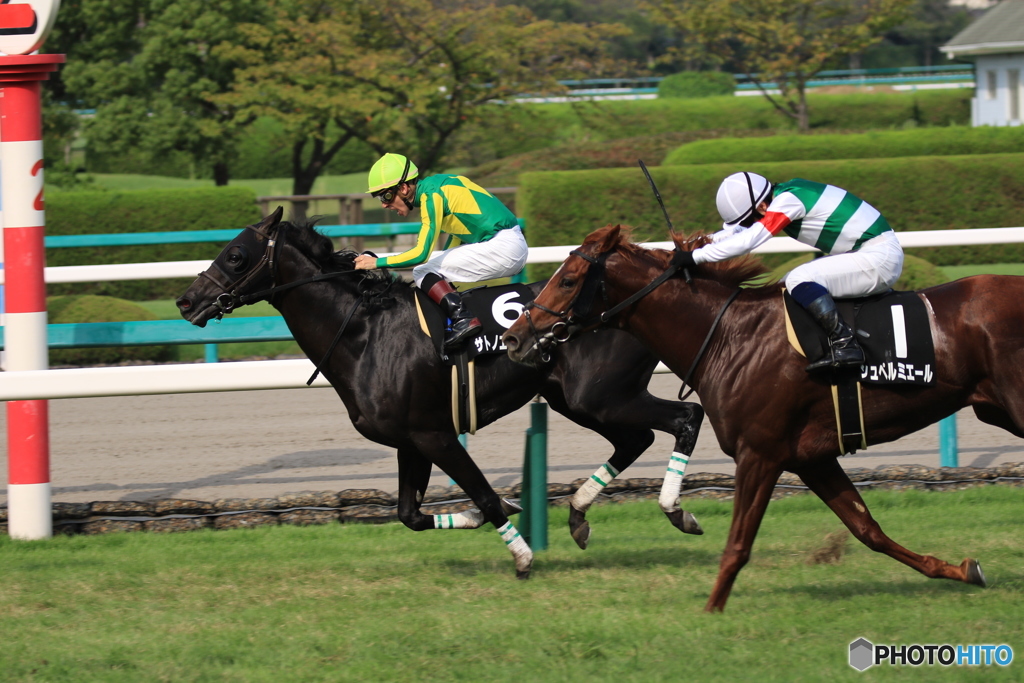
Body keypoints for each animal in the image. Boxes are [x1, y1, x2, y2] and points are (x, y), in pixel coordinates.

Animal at [176, 208, 707, 579]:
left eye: (236, 255)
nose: (186, 300)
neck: (365, 333)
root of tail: (643, 295)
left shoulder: (435, 435)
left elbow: (486, 495)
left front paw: (522, 555)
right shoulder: (409, 440)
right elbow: (409, 514)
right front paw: (490, 514)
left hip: (599, 395)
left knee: (686, 416)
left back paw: (676, 512)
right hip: (579, 400)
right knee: (636, 439)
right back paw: (579, 515)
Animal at [502, 224, 1010, 610]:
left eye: (568, 280)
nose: (514, 336)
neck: (729, 336)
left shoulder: (760, 453)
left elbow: (737, 545)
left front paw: (711, 612)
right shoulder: (811, 458)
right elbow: (868, 529)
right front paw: (961, 570)